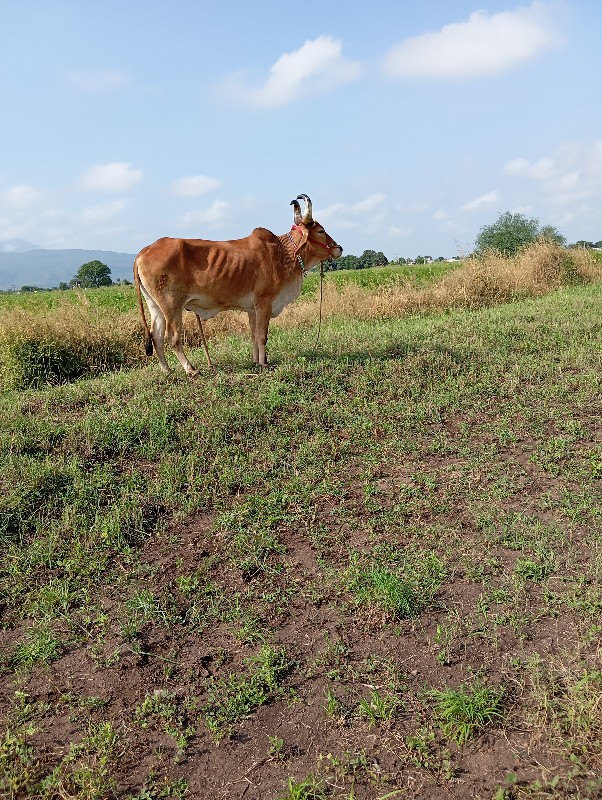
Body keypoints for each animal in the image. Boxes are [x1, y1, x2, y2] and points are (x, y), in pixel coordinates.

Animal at [135, 195, 340, 374]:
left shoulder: (252, 309)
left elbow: (254, 336)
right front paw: (264, 364)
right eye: (321, 231)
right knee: (173, 337)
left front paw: (257, 361)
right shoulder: (264, 303)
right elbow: (262, 336)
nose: (339, 248)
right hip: (172, 305)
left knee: (156, 336)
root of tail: (144, 251)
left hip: (155, 305)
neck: (284, 255)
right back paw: (190, 369)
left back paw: (167, 370)